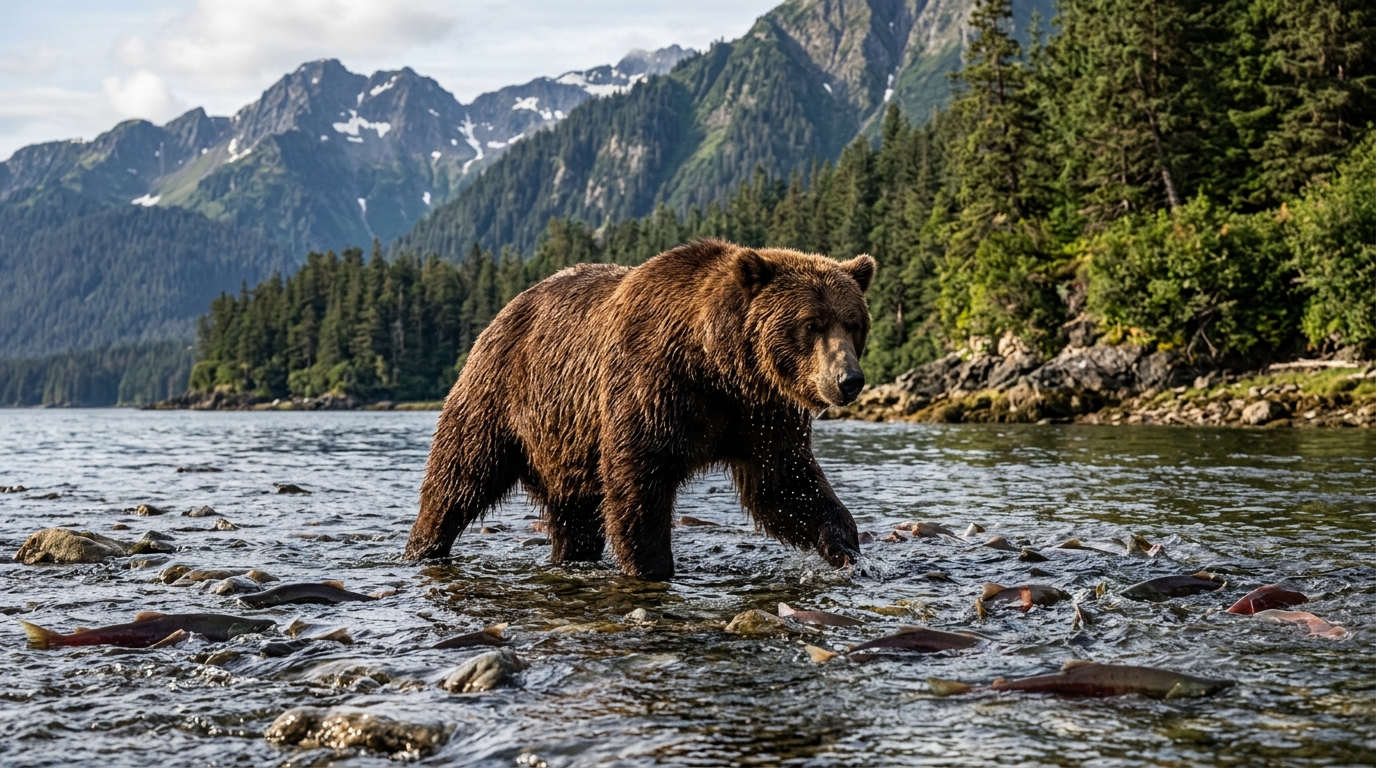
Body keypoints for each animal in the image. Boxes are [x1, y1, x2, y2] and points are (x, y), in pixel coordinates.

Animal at [404, 239, 875, 580]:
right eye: (811, 324)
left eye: (854, 323)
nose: (848, 379)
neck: (719, 368)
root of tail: (504, 312)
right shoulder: (652, 387)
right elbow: (639, 482)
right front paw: (651, 567)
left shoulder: (760, 416)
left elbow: (786, 486)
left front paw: (846, 548)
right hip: (500, 398)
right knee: (458, 477)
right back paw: (422, 547)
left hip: (566, 447)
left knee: (575, 516)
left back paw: (571, 558)